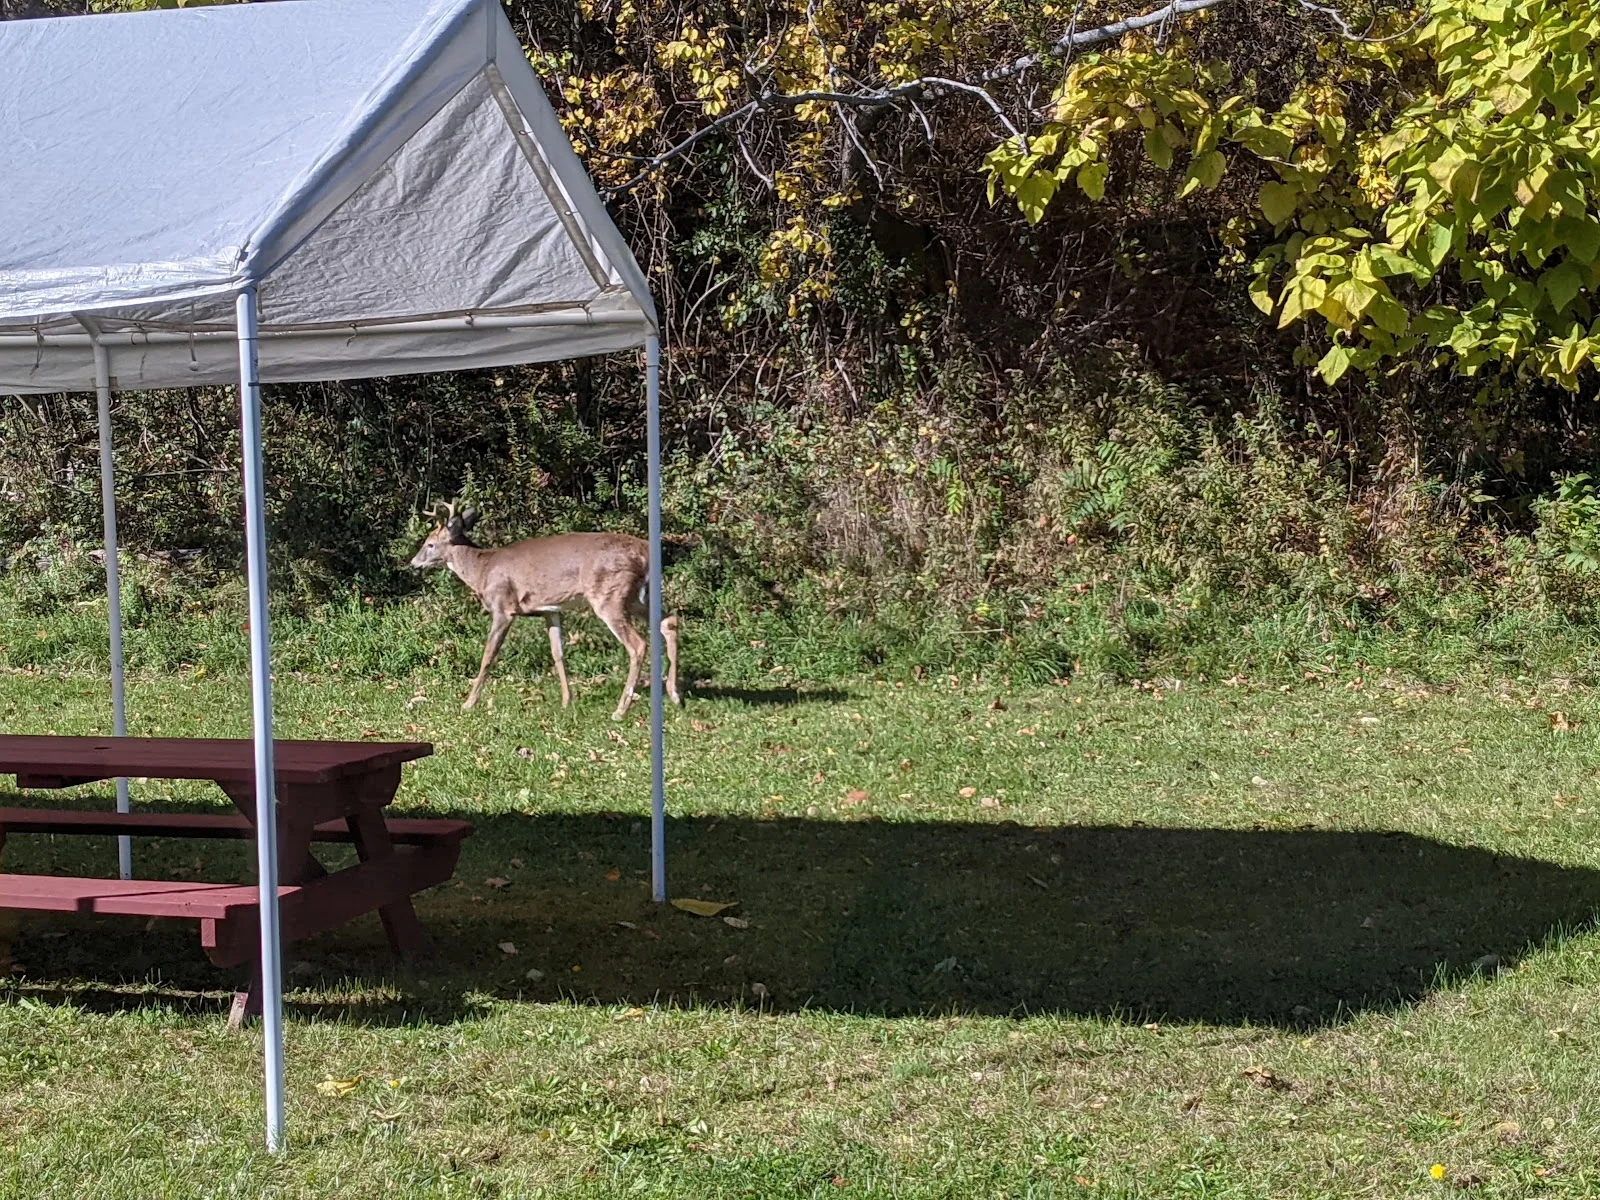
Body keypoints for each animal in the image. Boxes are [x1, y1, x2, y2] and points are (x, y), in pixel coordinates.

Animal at [409, 502, 681, 720]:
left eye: (430, 544)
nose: (413, 563)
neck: (482, 570)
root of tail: (647, 553)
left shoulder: (503, 606)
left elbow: (488, 654)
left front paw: (469, 702)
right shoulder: (551, 610)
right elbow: (557, 653)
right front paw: (566, 700)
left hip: (609, 595)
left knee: (638, 645)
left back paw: (621, 709)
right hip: (635, 596)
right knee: (669, 621)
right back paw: (674, 694)